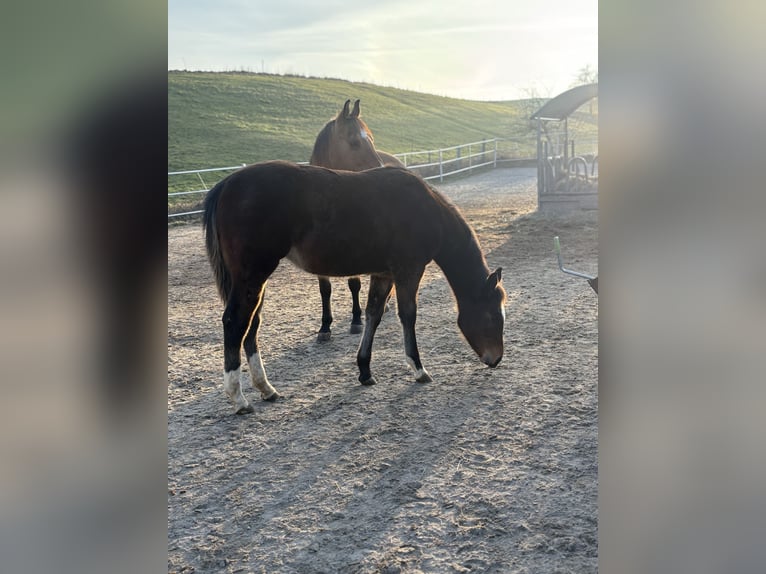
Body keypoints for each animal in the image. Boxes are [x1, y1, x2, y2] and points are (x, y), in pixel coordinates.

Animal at [203, 160, 506, 414]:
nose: (495, 360)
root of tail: (226, 184)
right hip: (253, 274)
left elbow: (374, 314)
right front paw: (418, 369)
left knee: (252, 324)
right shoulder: (409, 269)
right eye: (493, 316)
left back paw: (266, 389)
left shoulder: (383, 273)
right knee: (236, 322)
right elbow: (407, 315)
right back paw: (239, 398)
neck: (426, 209)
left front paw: (365, 370)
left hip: (255, 279)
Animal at [309, 99, 405, 341]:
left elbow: (354, 283)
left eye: (371, 139)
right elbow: (325, 289)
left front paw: (356, 320)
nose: (382, 171)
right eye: (354, 142)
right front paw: (325, 326)